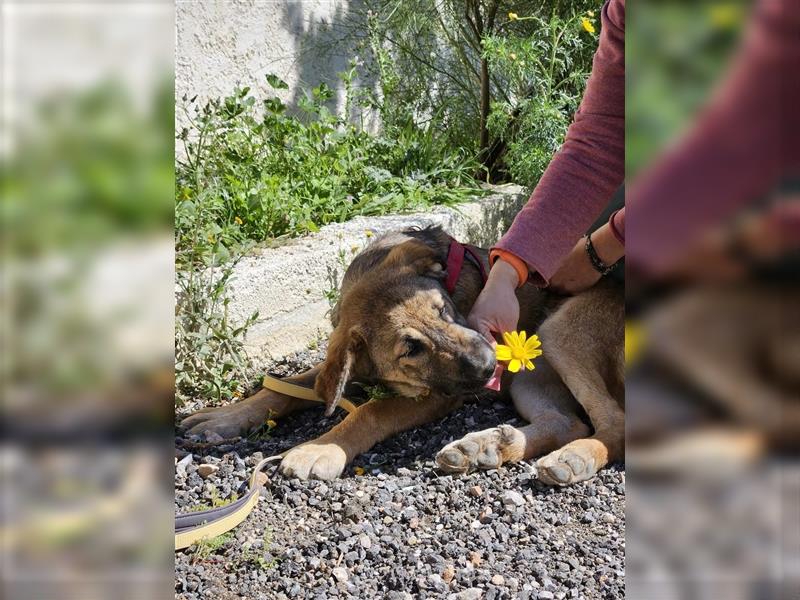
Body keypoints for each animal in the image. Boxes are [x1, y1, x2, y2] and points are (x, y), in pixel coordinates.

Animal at [181, 227, 624, 486]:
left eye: (443, 310)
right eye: (411, 348)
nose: (487, 366)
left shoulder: (440, 395)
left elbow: (370, 411)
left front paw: (321, 447)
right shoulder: (340, 367)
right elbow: (281, 389)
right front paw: (224, 417)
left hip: (558, 333)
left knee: (613, 423)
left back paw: (576, 458)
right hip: (529, 376)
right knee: (566, 422)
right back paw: (486, 447)